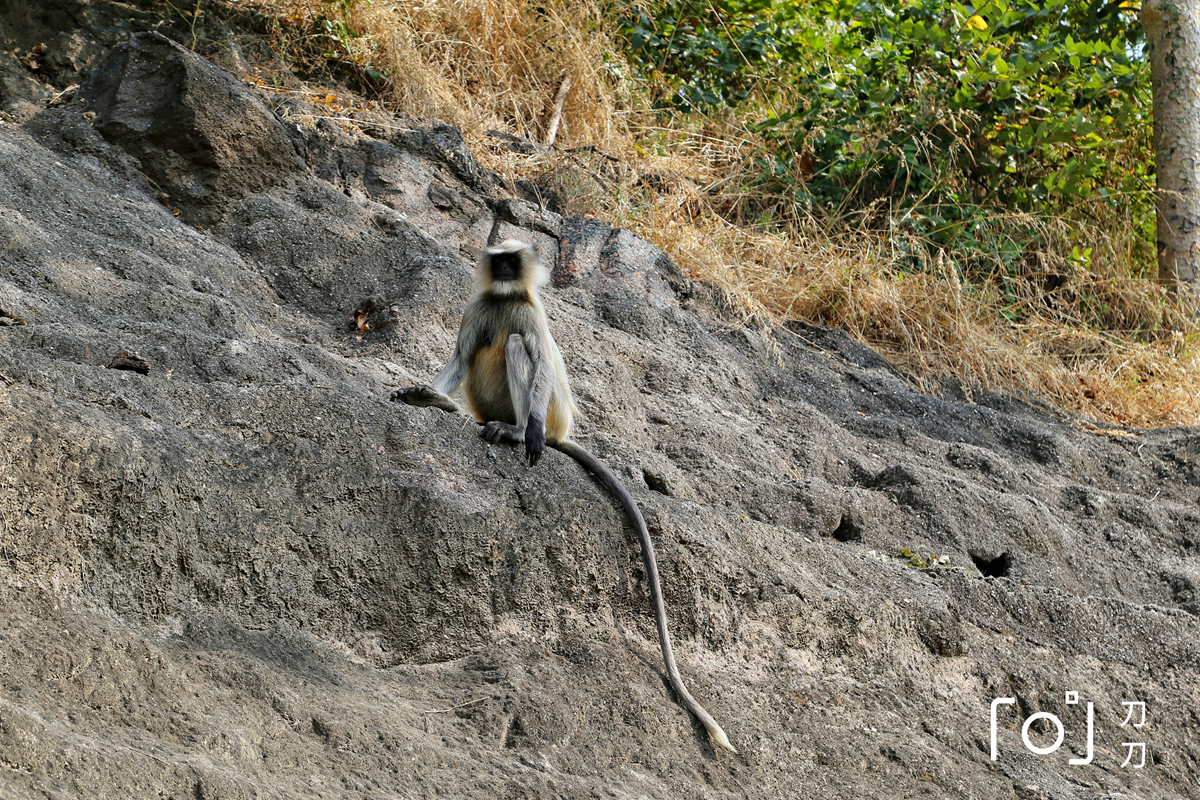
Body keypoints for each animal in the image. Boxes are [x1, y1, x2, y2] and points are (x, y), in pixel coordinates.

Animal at [393, 241, 734, 753]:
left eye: (513, 259)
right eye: (499, 261)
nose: (506, 270)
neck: (506, 297)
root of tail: (564, 432)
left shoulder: (529, 312)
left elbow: (534, 357)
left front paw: (525, 434)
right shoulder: (480, 305)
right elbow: (459, 354)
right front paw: (424, 394)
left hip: (552, 412)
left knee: (521, 349)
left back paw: (519, 432)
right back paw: (450, 407)